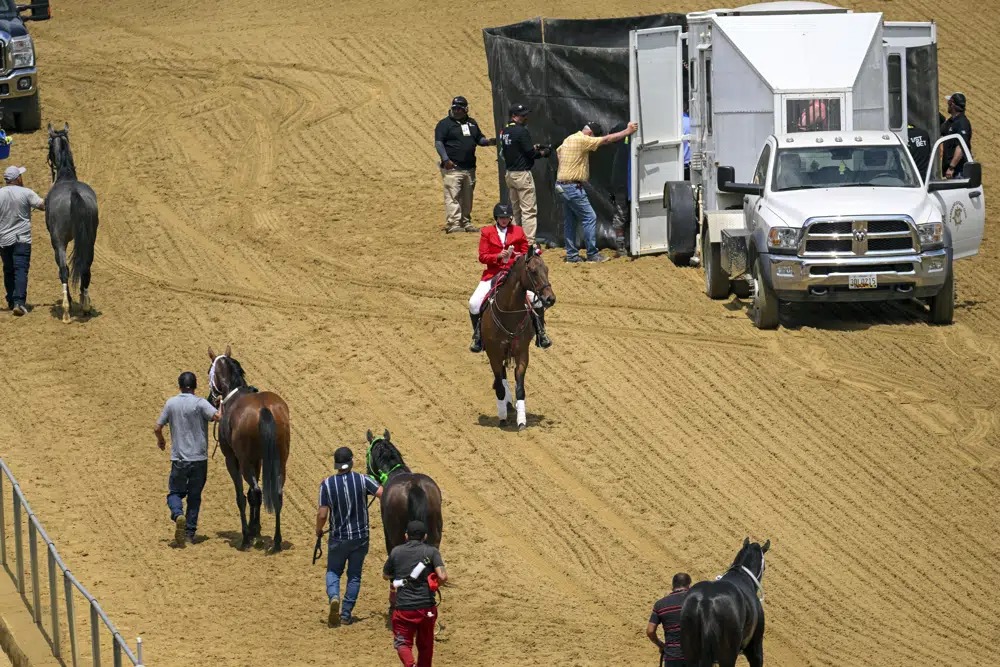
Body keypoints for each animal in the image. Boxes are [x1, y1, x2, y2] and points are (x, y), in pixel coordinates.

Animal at [207, 344, 290, 552]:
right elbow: (252, 495)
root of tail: (264, 409)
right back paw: (276, 541)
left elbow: (242, 496)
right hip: (280, 461)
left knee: (256, 492)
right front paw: (256, 529)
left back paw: (246, 540)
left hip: (243, 462)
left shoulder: (232, 459)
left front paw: (249, 533)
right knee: (276, 493)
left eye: (208, 370)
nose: (211, 400)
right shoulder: (259, 460)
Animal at [478, 248, 556, 430]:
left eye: (547, 269)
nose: (550, 299)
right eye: (533, 271)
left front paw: (521, 421)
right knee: (501, 378)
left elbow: (520, 388)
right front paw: (502, 418)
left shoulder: (522, 354)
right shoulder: (494, 355)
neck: (509, 312)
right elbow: (500, 386)